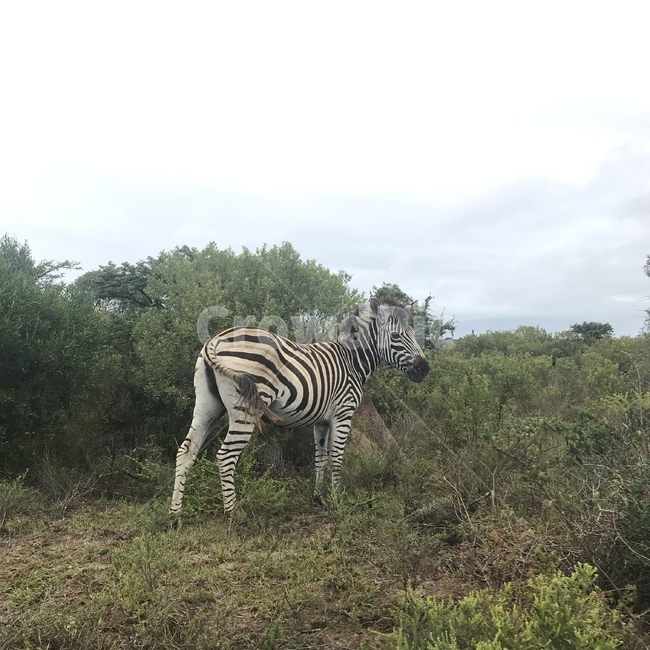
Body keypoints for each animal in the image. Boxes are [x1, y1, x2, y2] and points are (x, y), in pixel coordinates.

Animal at [169, 295, 429, 522]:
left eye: (413, 334)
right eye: (395, 336)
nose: (424, 369)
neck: (351, 362)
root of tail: (214, 340)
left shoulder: (322, 421)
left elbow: (320, 458)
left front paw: (318, 499)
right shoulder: (343, 415)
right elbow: (337, 458)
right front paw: (338, 502)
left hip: (207, 407)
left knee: (186, 451)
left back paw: (175, 516)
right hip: (244, 411)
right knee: (225, 456)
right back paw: (234, 514)